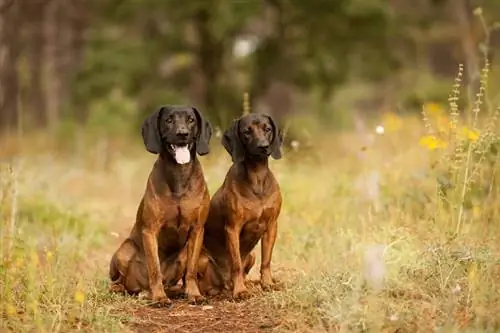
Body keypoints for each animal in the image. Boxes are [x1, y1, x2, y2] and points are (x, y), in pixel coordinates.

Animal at [108, 105, 212, 304]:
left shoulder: (197, 230)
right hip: (124, 251)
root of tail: (142, 288)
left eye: (191, 120)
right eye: (168, 120)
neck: (179, 173)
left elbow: (191, 270)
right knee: (119, 282)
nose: (182, 133)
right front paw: (159, 298)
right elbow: (154, 268)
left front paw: (194, 294)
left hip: (185, 255)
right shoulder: (150, 230)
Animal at [199, 113, 286, 298]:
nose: (263, 146)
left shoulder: (271, 226)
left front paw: (267, 283)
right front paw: (240, 291)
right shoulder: (233, 228)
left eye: (268, 129)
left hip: (252, 255)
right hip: (202, 259)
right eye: (247, 132)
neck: (257, 177)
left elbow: (266, 261)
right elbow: (236, 264)